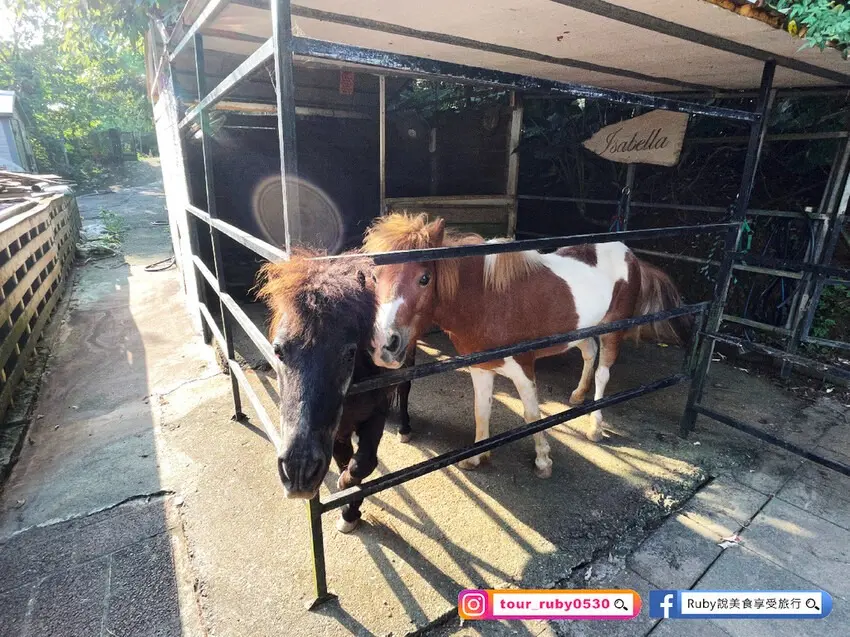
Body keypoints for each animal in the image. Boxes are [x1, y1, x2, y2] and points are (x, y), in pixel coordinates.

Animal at [257, 250, 396, 533]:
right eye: (277, 350)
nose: (299, 470)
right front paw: (348, 508)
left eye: (349, 353)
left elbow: (363, 462)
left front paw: (345, 489)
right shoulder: (338, 432)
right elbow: (345, 460)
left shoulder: (377, 413)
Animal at [363, 213, 690, 478]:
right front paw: (478, 456)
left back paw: (595, 426)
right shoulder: (481, 368)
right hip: (583, 330)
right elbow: (482, 410)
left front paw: (543, 461)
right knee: (589, 354)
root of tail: (630, 254)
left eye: (425, 278)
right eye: (374, 277)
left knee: (603, 373)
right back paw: (577, 395)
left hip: (613, 330)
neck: (485, 299)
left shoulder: (523, 367)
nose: (385, 344)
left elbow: (532, 415)